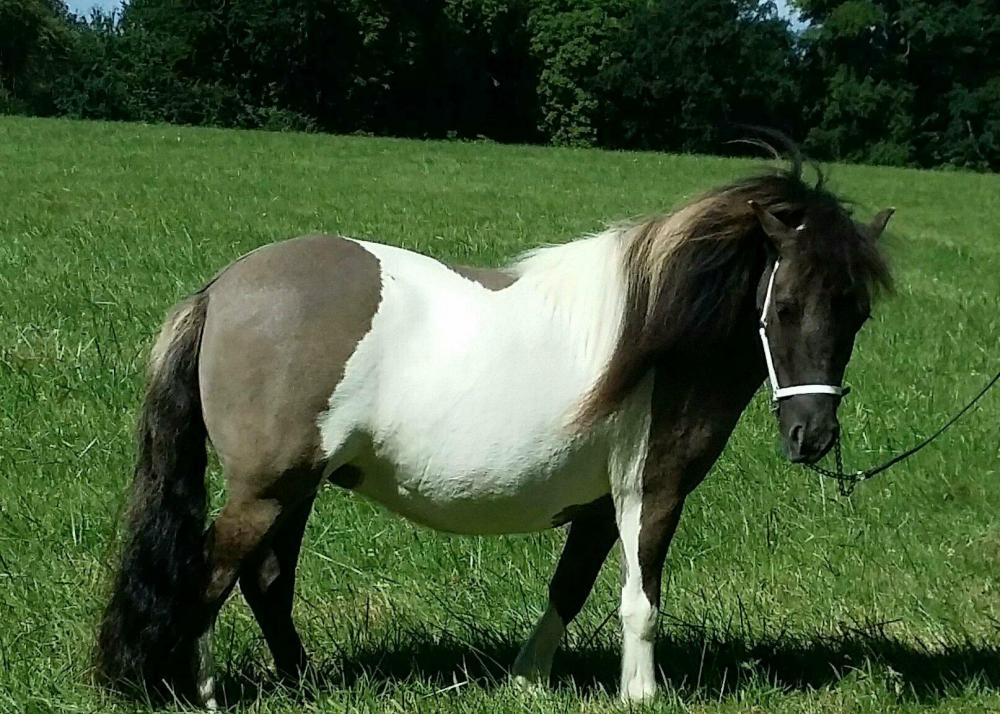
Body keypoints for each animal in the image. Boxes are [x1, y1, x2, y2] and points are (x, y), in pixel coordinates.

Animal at [95, 159, 894, 707]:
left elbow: (570, 588)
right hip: (267, 489)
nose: (813, 434)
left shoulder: (597, 507)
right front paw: (641, 696)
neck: (659, 335)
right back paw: (206, 693)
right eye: (785, 307)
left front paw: (527, 681)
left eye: (856, 312)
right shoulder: (652, 492)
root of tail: (222, 289)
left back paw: (302, 685)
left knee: (265, 580)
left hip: (294, 489)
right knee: (214, 573)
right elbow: (640, 601)